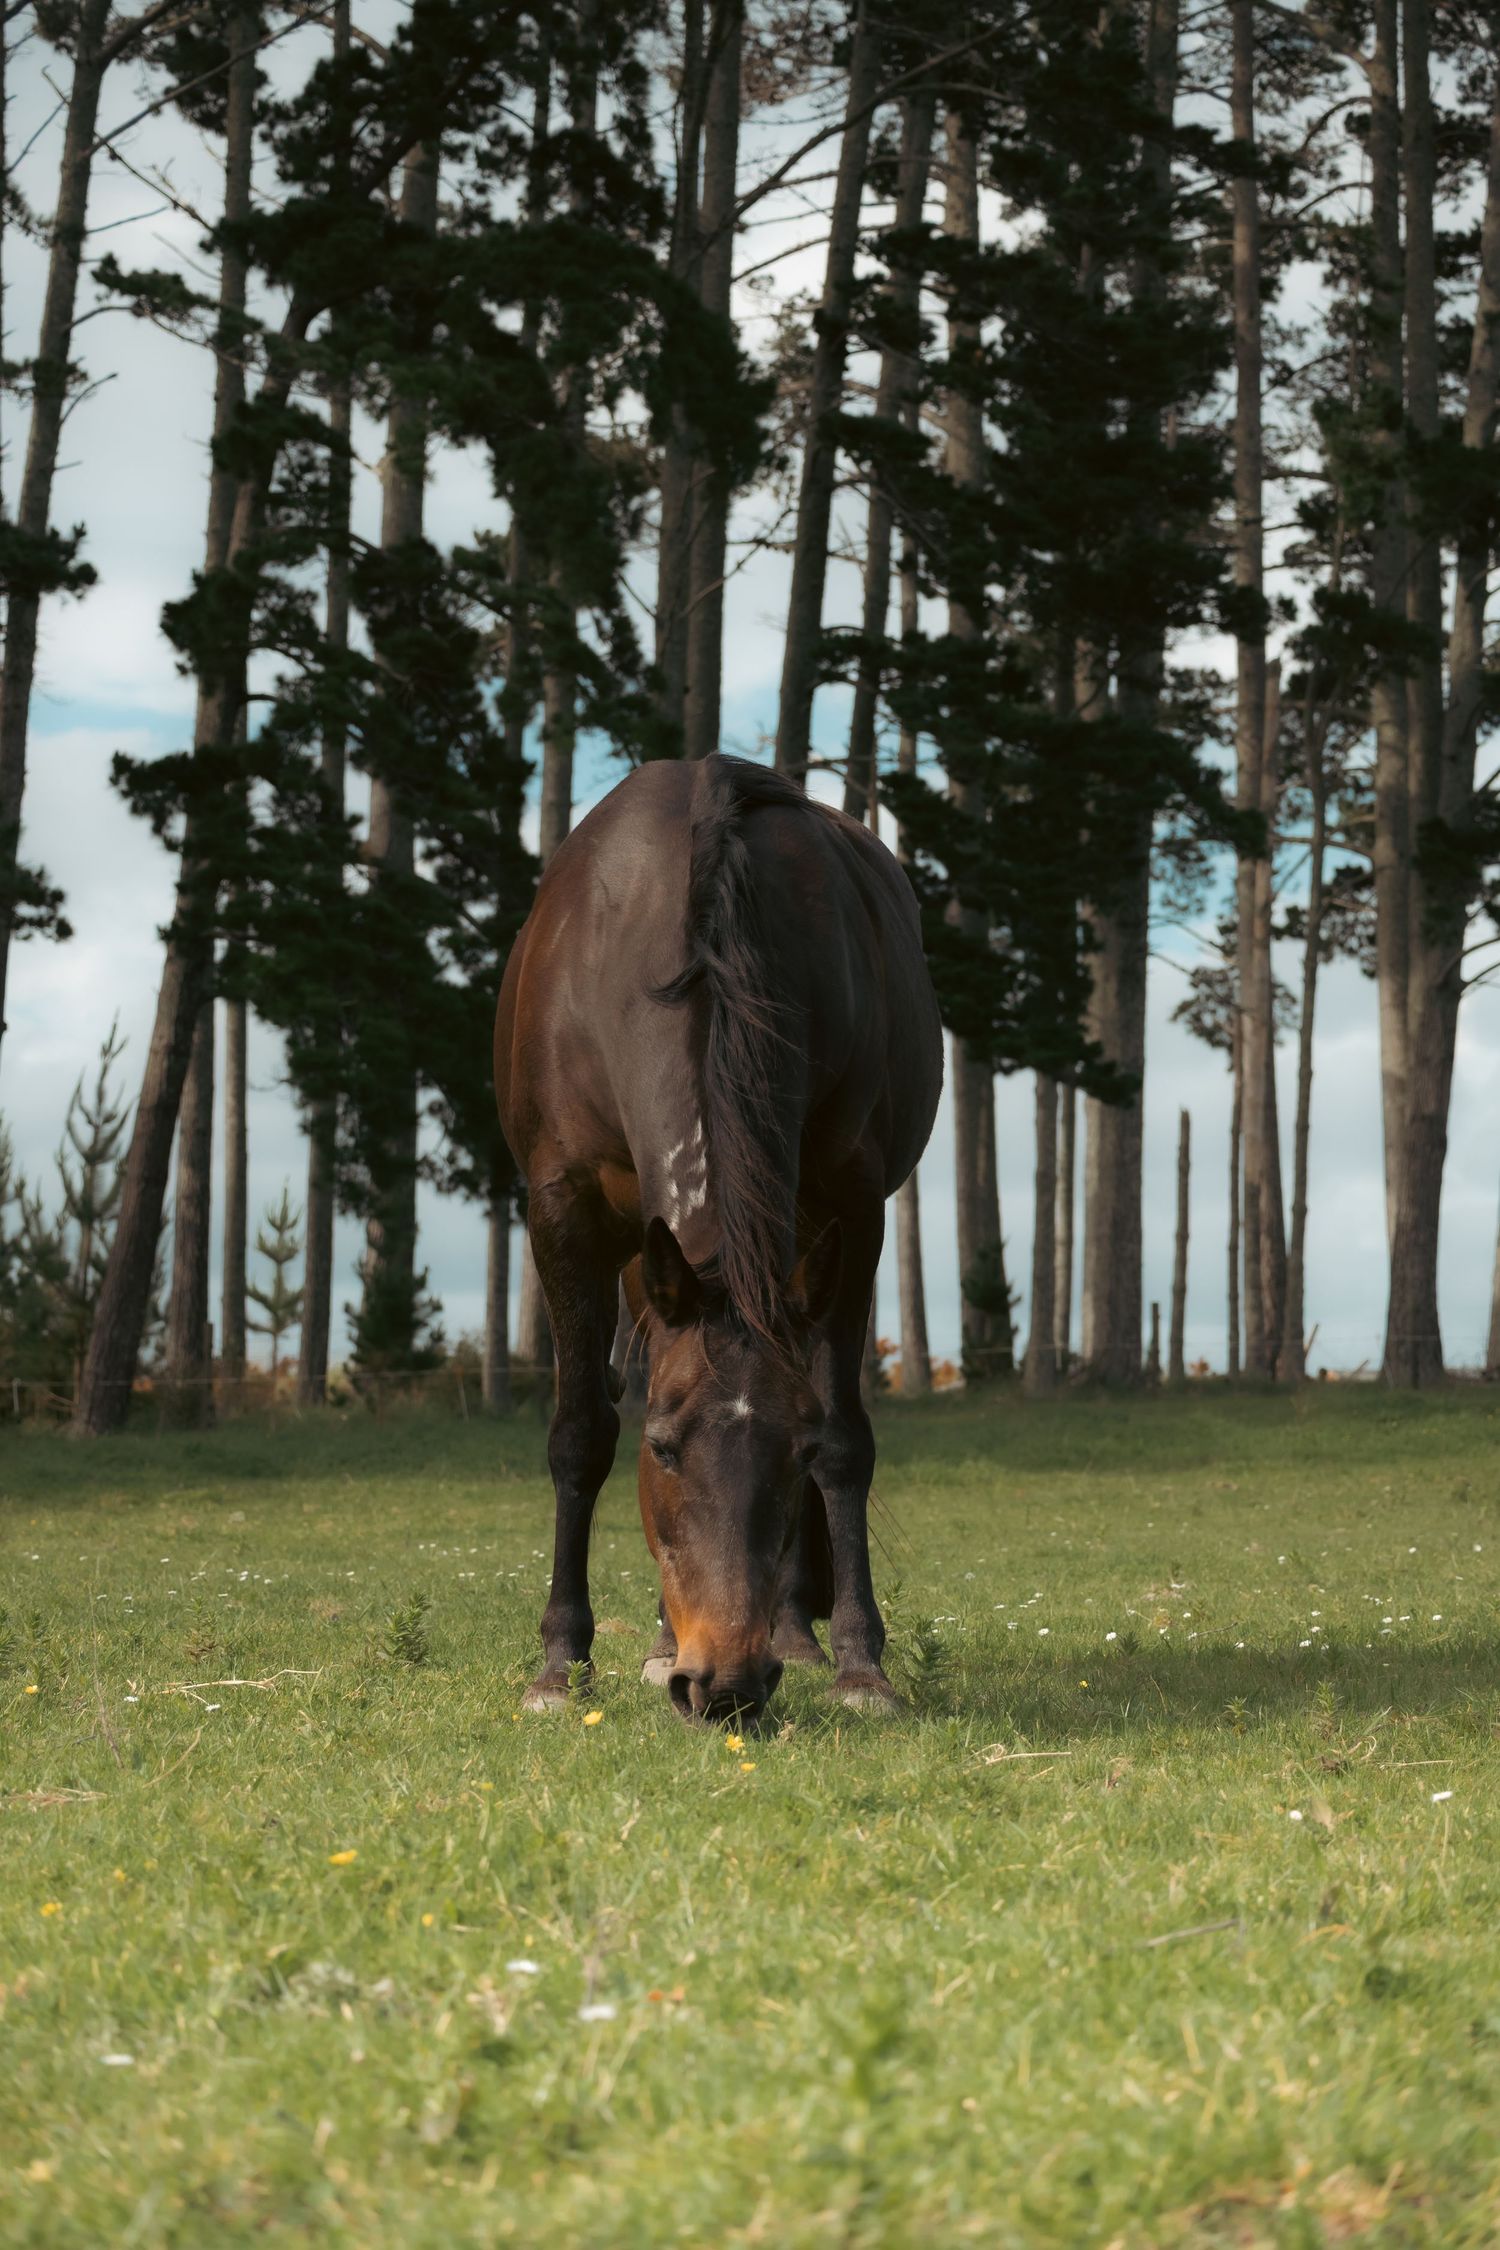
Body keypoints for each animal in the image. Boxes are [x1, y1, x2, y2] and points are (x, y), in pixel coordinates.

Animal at [494, 753, 943, 1722]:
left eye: (794, 1449)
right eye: (664, 1446)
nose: (725, 1685)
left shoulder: (853, 1209)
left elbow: (846, 1438)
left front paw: (859, 1664)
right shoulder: (563, 1209)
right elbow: (581, 1433)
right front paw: (560, 1663)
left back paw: (793, 1634)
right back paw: (667, 1642)